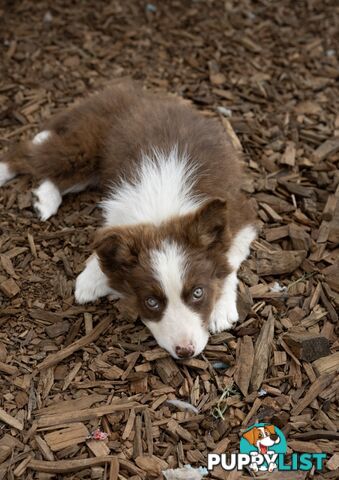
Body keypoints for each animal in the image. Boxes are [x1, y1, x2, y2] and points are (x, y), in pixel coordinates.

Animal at [0, 80, 256, 358]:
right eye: (151, 302)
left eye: (198, 292)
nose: (185, 351)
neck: (163, 211)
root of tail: (123, 90)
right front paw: (92, 277)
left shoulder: (240, 217)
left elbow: (229, 259)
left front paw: (222, 309)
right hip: (84, 150)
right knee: (26, 155)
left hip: (88, 168)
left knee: (53, 173)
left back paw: (45, 199)